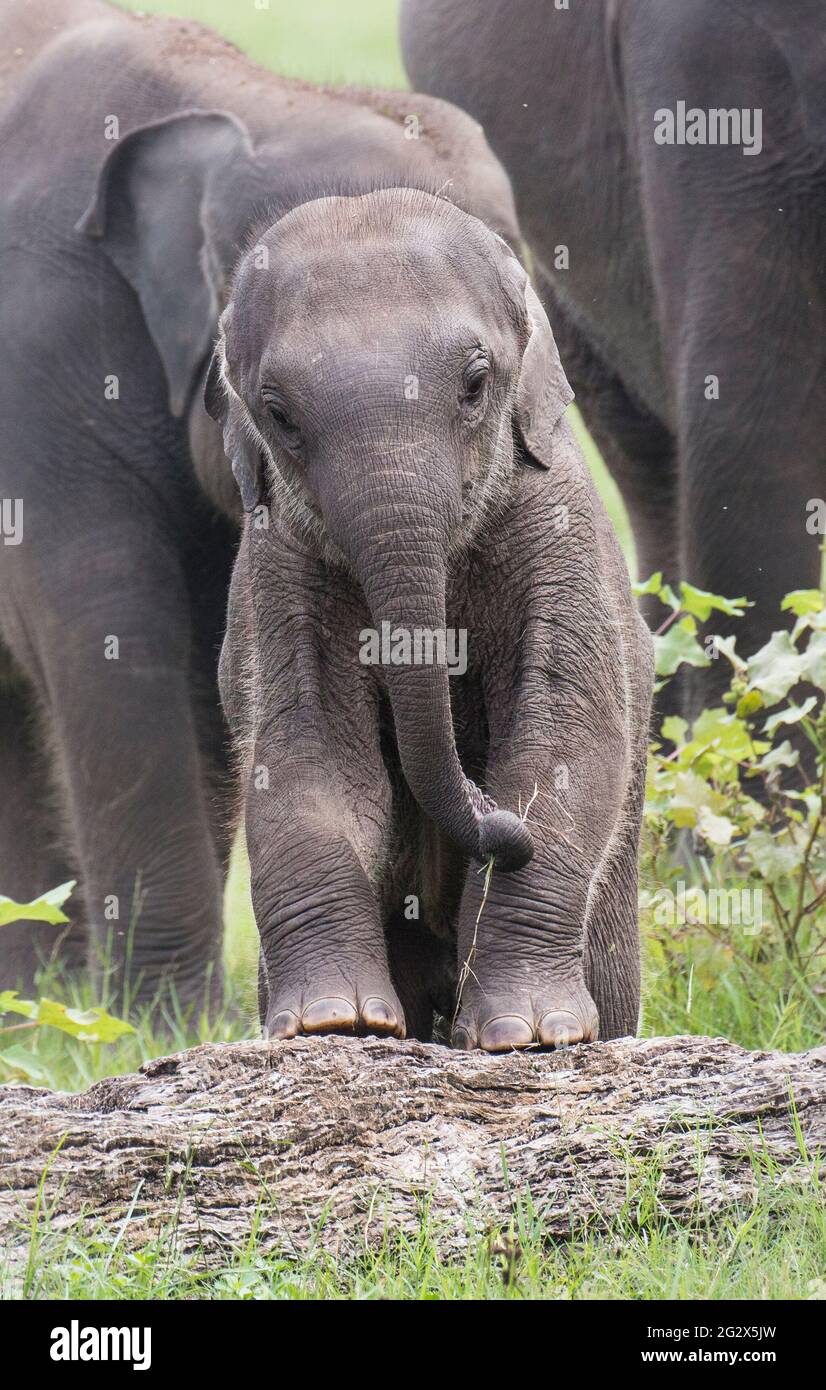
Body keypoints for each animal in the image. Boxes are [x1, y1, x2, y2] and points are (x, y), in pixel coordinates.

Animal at [207, 187, 650, 1050]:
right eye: (279, 415)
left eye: (476, 384)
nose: (497, 826)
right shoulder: (278, 559)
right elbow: (309, 755)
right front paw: (335, 1024)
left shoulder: (560, 530)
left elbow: (566, 737)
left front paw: (528, 1035)